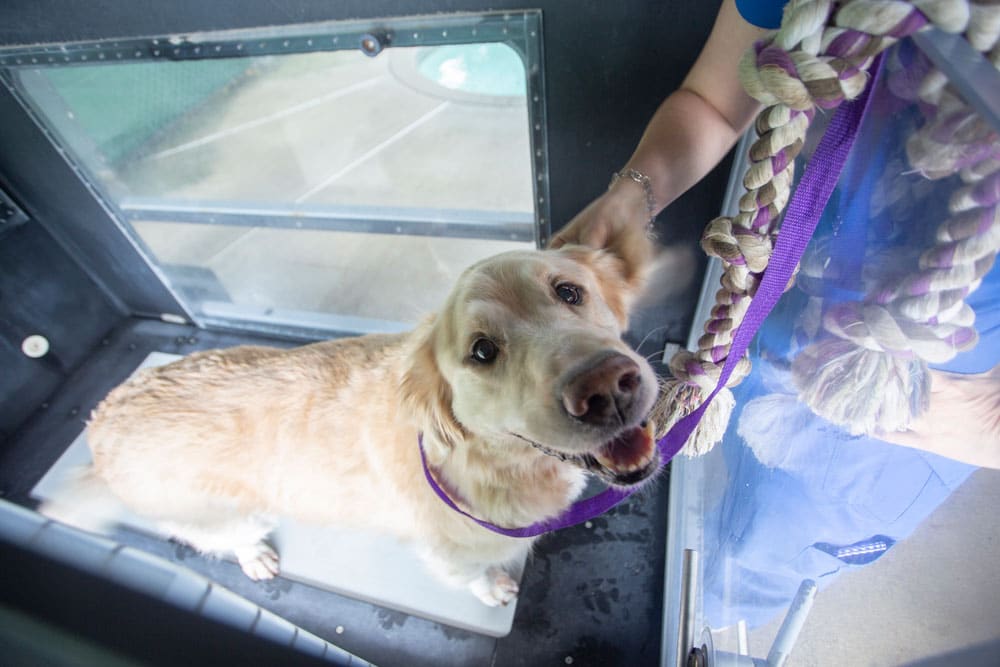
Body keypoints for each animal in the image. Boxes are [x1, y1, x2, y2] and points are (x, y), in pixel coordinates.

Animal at [43, 227, 660, 608]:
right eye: (483, 351)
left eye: (569, 291)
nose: (607, 387)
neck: (485, 462)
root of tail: (100, 421)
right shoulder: (451, 554)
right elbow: (474, 577)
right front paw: (492, 590)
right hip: (216, 514)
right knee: (228, 536)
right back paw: (255, 556)